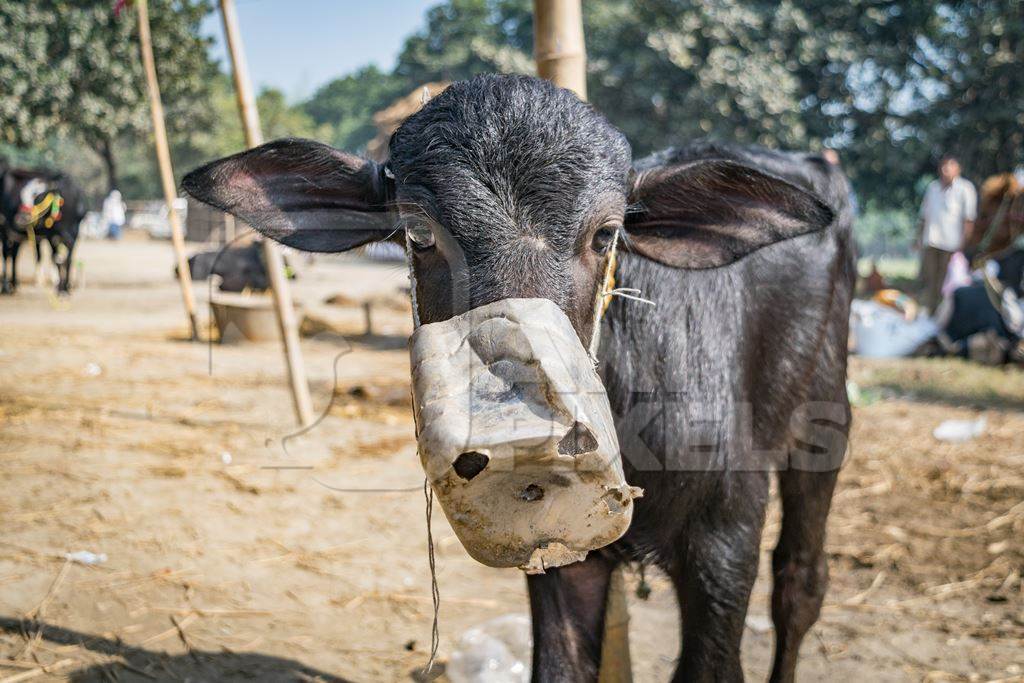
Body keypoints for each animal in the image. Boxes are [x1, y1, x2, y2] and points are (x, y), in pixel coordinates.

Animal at [0, 166, 86, 294]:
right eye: (22, 194)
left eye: (37, 195)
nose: (22, 218)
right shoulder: (52, 236)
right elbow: (57, 259)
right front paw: (60, 287)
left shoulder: (74, 235)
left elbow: (67, 259)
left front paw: (65, 288)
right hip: (6, 230)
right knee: (8, 254)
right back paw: (8, 286)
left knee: (13, 253)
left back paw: (14, 284)